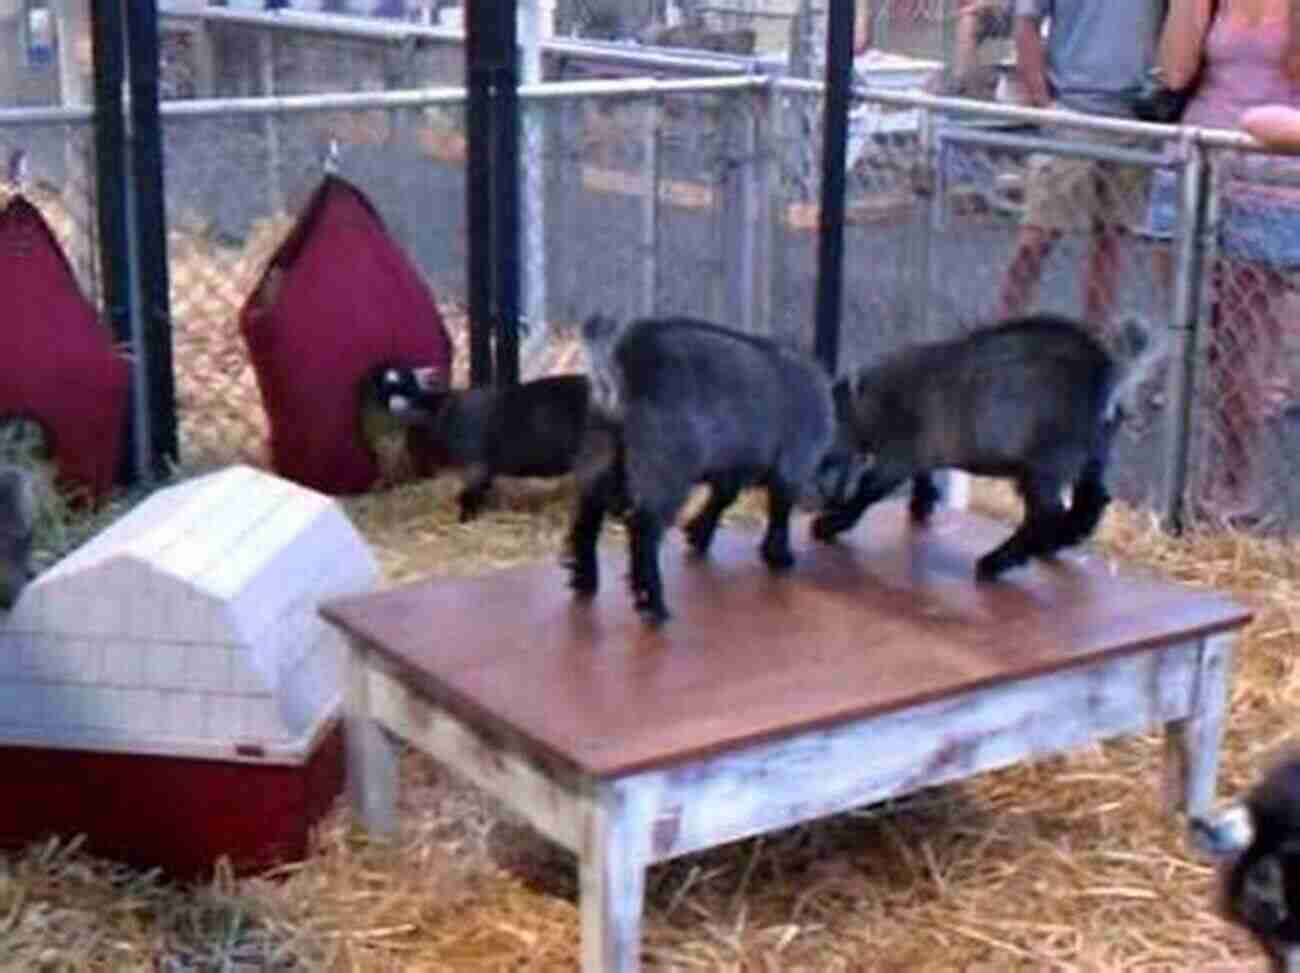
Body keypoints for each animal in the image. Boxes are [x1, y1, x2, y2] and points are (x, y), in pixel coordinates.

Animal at [371, 364, 618, 520]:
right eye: (384, 387)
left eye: (406, 384)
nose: (395, 406)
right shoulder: (483, 467)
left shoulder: (476, 464)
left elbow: (468, 496)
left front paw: (465, 520)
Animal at [572, 316, 863, 626]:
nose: (837, 502)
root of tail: (624, 354)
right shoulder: (792, 464)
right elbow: (779, 510)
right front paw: (779, 555)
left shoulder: (732, 466)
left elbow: (724, 497)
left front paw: (698, 534)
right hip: (665, 465)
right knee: (643, 528)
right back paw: (653, 601)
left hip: (602, 446)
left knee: (589, 508)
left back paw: (584, 576)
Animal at [811, 316, 1170, 582]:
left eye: (829, 420)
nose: (819, 466)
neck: (873, 399)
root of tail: (1107, 371)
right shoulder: (922, 452)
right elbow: (923, 475)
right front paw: (922, 504)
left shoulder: (898, 455)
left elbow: (867, 491)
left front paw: (830, 524)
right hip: (1092, 454)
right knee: (1091, 500)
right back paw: (1058, 541)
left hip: (1045, 464)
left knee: (1045, 514)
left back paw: (997, 562)